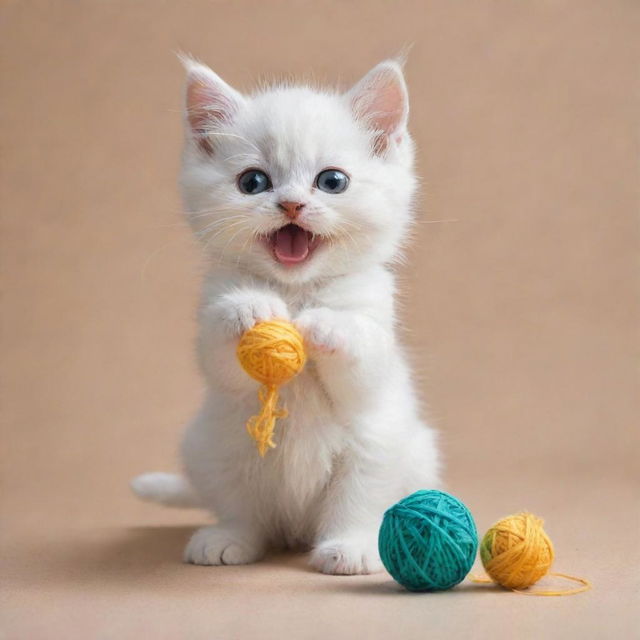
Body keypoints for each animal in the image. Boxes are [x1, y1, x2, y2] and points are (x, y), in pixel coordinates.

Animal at [130, 56, 440, 576]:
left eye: (332, 181)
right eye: (253, 182)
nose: (292, 203)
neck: (295, 290)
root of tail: (296, 528)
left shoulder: (375, 336)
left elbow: (363, 359)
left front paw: (323, 323)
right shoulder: (213, 319)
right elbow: (221, 359)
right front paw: (251, 308)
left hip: (388, 450)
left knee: (358, 500)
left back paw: (350, 547)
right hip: (214, 444)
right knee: (246, 514)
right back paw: (228, 539)